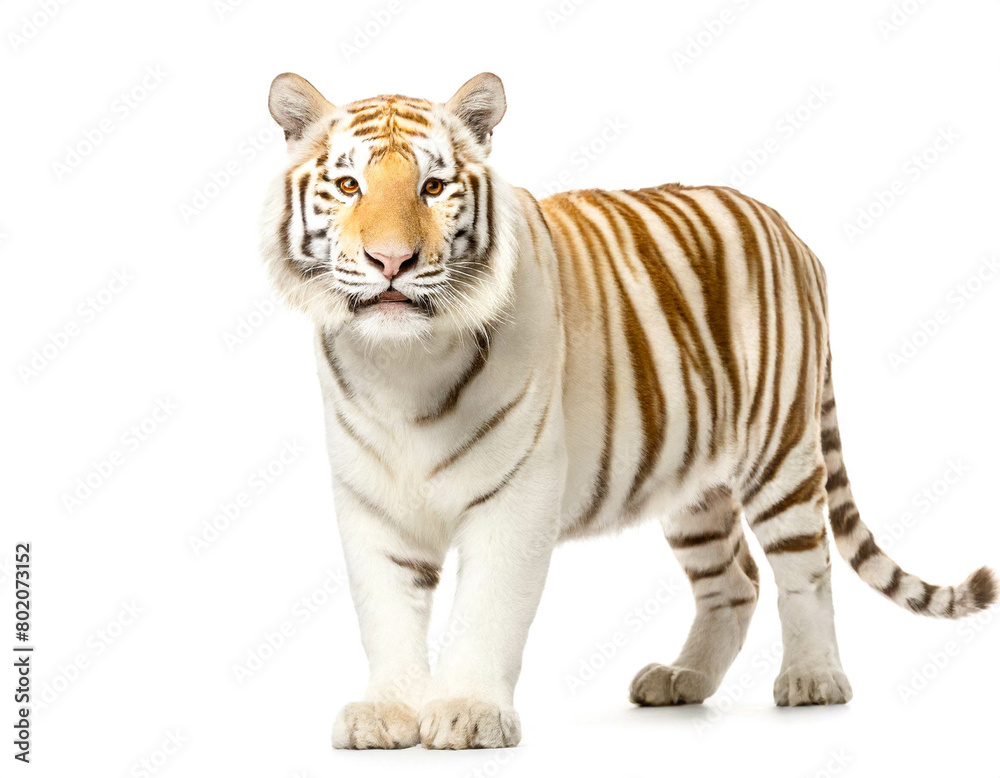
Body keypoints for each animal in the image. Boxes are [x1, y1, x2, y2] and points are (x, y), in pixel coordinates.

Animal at [260, 71, 997, 750]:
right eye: (349, 186)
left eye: (434, 189)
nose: (391, 261)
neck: (401, 363)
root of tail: (790, 231)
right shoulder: (371, 503)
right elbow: (385, 614)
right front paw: (387, 712)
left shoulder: (515, 498)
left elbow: (485, 610)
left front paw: (469, 713)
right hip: (693, 484)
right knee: (735, 580)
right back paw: (682, 679)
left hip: (781, 452)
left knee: (804, 569)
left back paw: (814, 679)